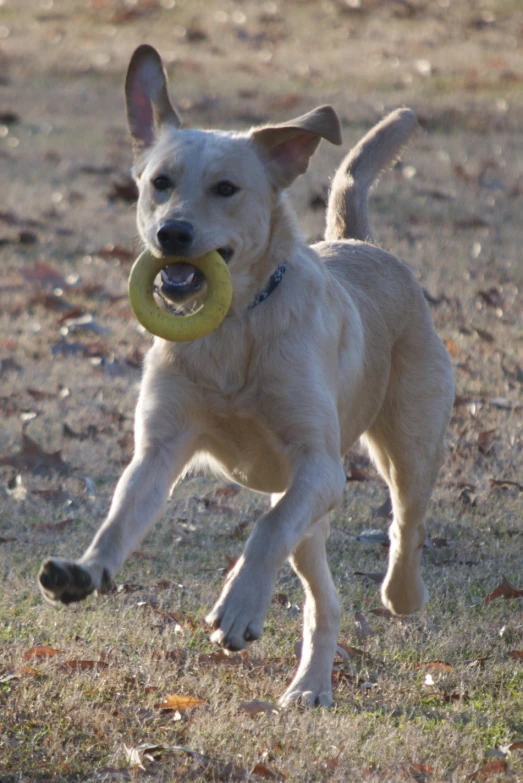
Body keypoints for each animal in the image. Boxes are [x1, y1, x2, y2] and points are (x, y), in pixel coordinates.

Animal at [39, 44, 454, 712]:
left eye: (226, 189)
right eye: (159, 183)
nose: (172, 234)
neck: (235, 325)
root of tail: (360, 243)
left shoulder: (318, 464)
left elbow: (266, 527)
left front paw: (236, 607)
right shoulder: (160, 450)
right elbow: (122, 515)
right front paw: (87, 569)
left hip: (406, 447)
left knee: (402, 523)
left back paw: (399, 594)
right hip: (316, 519)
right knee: (324, 600)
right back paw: (309, 685)